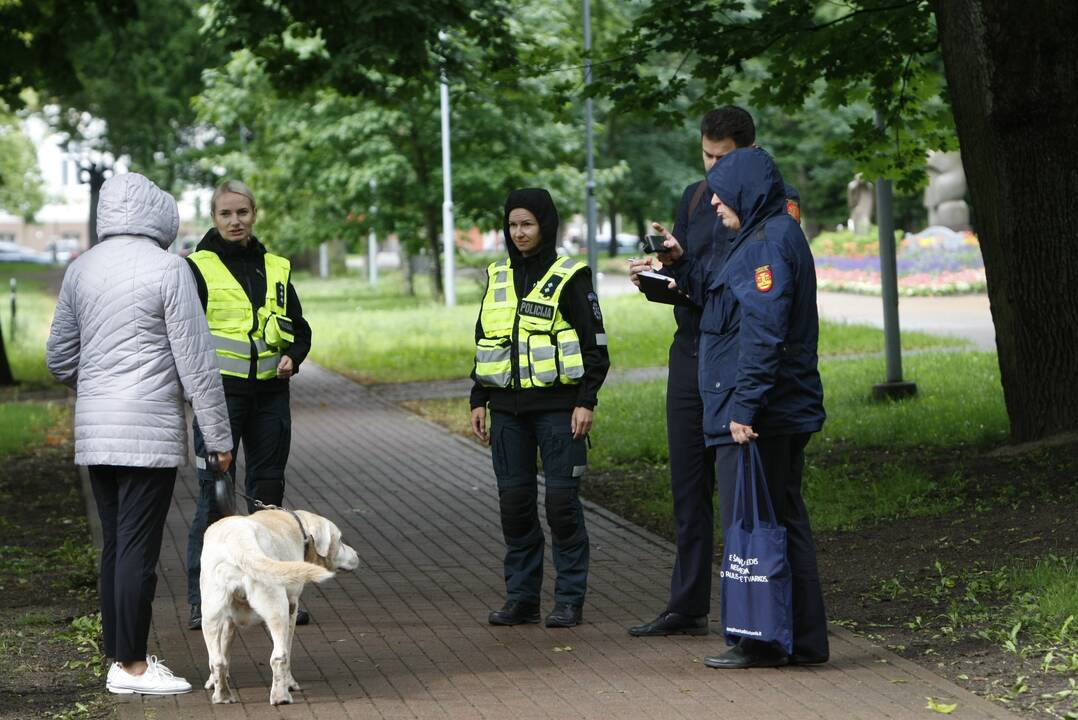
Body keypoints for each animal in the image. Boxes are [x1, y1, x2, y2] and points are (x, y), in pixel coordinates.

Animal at [198, 508, 357, 707]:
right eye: (341, 540)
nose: (357, 554)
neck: (299, 528)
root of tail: (239, 538)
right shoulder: (292, 606)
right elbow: (288, 651)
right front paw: (290, 683)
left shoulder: (227, 620)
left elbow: (225, 649)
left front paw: (214, 681)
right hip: (277, 607)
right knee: (279, 656)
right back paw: (281, 697)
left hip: (210, 614)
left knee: (217, 659)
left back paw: (223, 696)